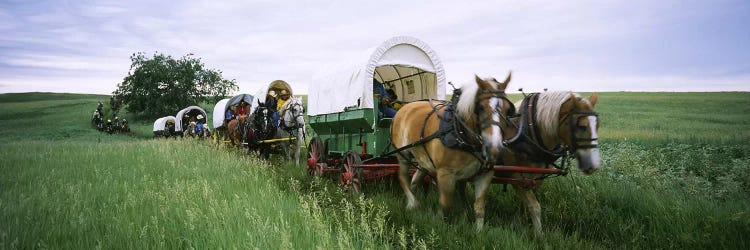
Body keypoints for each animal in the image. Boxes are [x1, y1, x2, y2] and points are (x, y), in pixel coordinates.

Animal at [390, 73, 516, 230]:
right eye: (480, 107)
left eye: (508, 110)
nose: (494, 149)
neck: (461, 133)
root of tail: (404, 108)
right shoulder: (445, 174)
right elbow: (446, 205)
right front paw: (439, 224)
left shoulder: (485, 174)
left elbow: (479, 207)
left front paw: (479, 231)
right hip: (402, 154)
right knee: (403, 177)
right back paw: (412, 202)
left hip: (423, 158)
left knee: (415, 179)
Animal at [500, 91, 604, 235]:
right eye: (582, 126)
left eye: (598, 125)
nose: (593, 165)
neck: (524, 131)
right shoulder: (516, 177)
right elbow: (535, 206)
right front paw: (539, 235)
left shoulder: (536, 178)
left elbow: (526, 205)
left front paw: (519, 223)